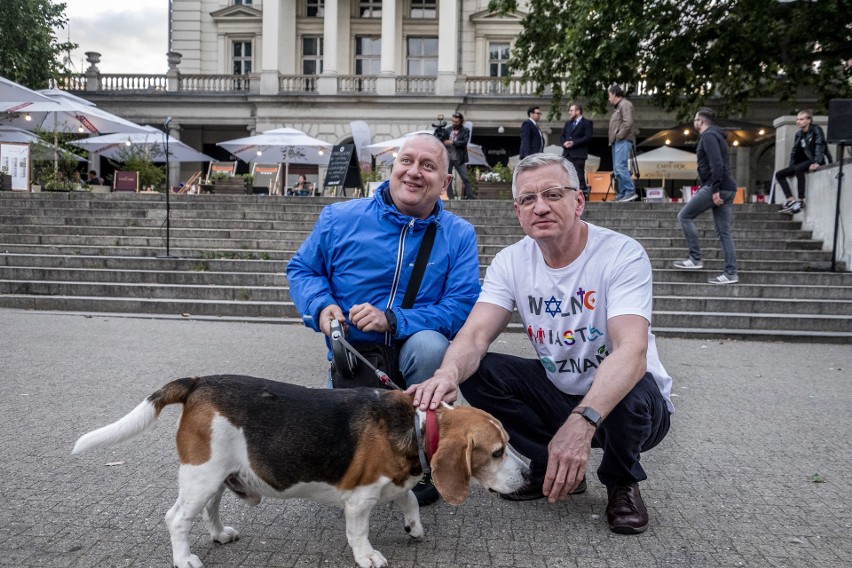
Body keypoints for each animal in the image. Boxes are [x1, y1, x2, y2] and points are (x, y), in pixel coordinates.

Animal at [73, 374, 528, 564]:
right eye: (497, 452)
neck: (416, 426)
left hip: (217, 476)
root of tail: (198, 382)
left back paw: (220, 535)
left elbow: (409, 500)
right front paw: (367, 556)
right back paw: (185, 559)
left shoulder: (394, 481)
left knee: (209, 511)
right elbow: (359, 533)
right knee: (177, 519)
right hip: (201, 475)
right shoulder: (360, 499)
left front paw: (413, 527)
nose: (528, 474)